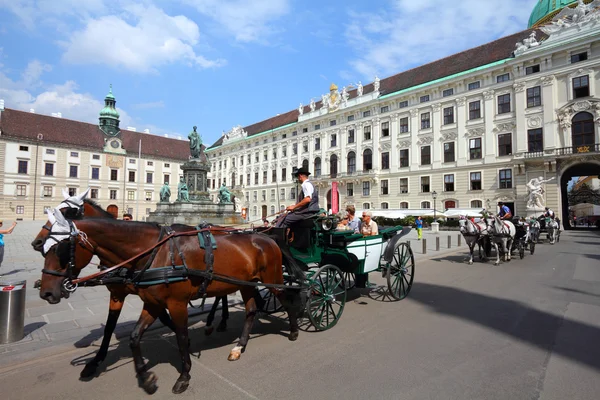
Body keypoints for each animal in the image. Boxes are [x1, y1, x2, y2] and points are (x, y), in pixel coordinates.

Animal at [37, 209, 300, 394]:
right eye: (44, 249)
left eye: (60, 249)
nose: (46, 293)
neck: (155, 253)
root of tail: (267, 238)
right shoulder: (151, 303)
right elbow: (133, 337)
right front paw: (146, 379)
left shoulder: (176, 303)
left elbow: (181, 337)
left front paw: (183, 376)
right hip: (245, 284)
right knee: (251, 310)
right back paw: (238, 345)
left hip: (272, 279)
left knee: (288, 300)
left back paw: (294, 330)